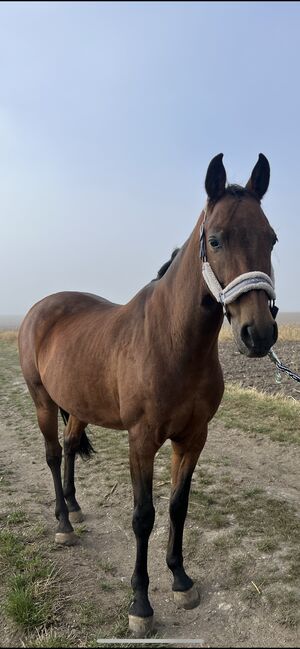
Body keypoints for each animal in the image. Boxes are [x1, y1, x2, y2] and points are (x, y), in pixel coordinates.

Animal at [17, 154, 278, 636]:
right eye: (215, 239)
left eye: (271, 238)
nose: (259, 334)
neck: (173, 343)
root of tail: (40, 309)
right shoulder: (141, 441)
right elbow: (144, 517)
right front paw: (141, 604)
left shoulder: (193, 438)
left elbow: (177, 507)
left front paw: (181, 579)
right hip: (42, 400)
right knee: (51, 454)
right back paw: (63, 523)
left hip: (78, 405)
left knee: (68, 446)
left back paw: (75, 507)